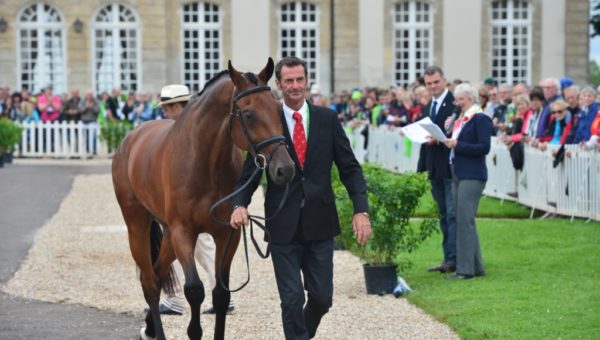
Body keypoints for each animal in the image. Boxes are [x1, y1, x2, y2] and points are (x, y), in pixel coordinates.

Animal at [112, 59, 296, 340]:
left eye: (278, 109)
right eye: (249, 114)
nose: (285, 169)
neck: (206, 162)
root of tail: (130, 139)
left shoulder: (227, 234)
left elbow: (220, 294)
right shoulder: (183, 232)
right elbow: (195, 290)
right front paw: (194, 330)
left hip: (167, 233)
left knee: (158, 272)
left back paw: (151, 326)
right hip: (137, 224)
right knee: (149, 281)